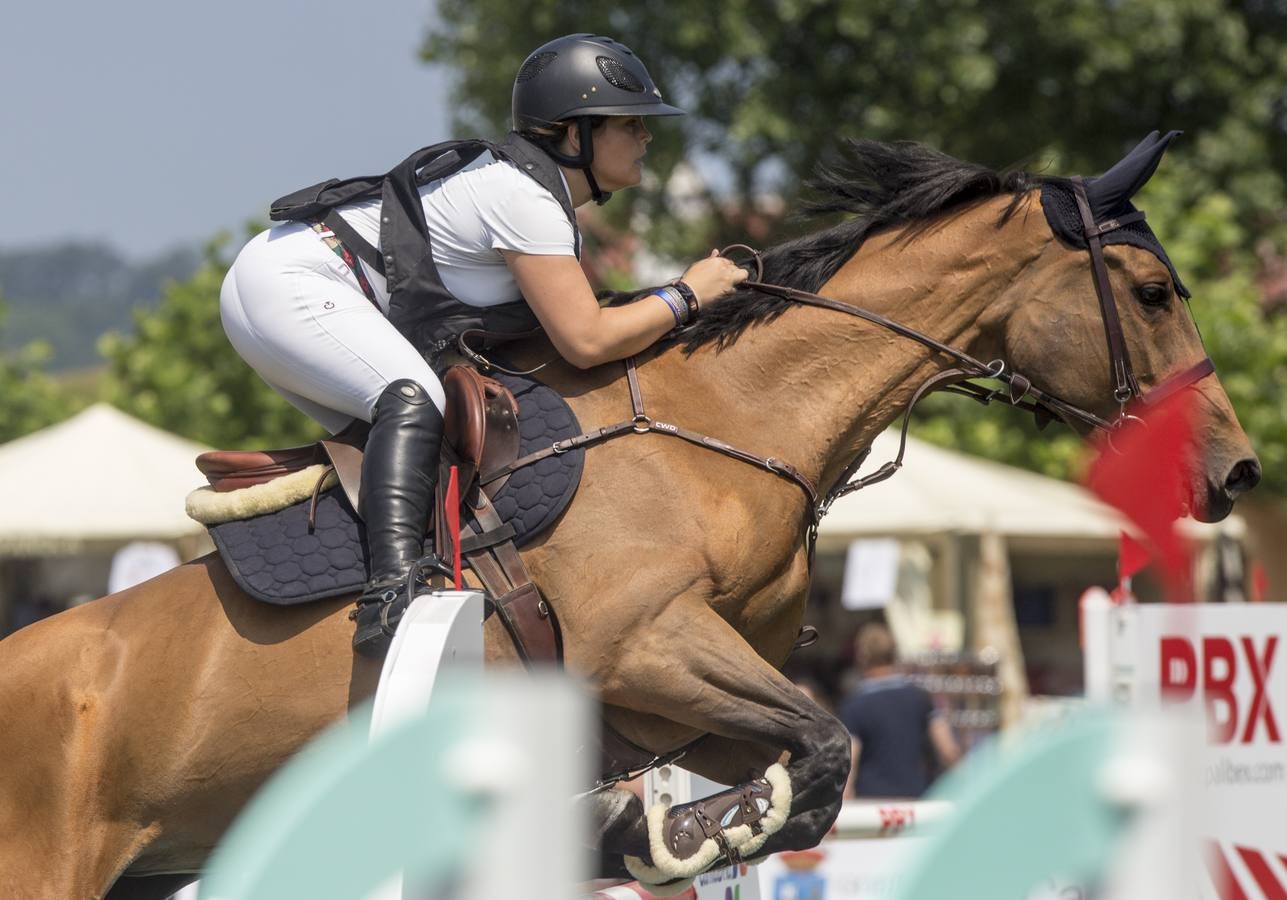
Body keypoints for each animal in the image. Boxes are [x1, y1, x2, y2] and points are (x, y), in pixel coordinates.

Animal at [0, 133, 1256, 900]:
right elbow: (827, 746)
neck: (726, 421)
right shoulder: (646, 645)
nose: (1239, 473)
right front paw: (665, 836)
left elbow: (813, 770)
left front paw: (644, 832)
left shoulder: (673, 706)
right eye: (1153, 294)